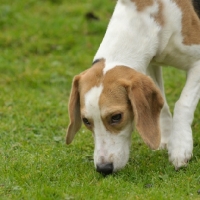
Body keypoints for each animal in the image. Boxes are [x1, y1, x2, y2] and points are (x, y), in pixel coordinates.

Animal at [66, 0, 200, 174]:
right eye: (86, 121)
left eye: (116, 117)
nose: (104, 168)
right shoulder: (151, 65)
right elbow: (162, 105)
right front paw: (166, 137)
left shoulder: (197, 62)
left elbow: (183, 104)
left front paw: (180, 146)